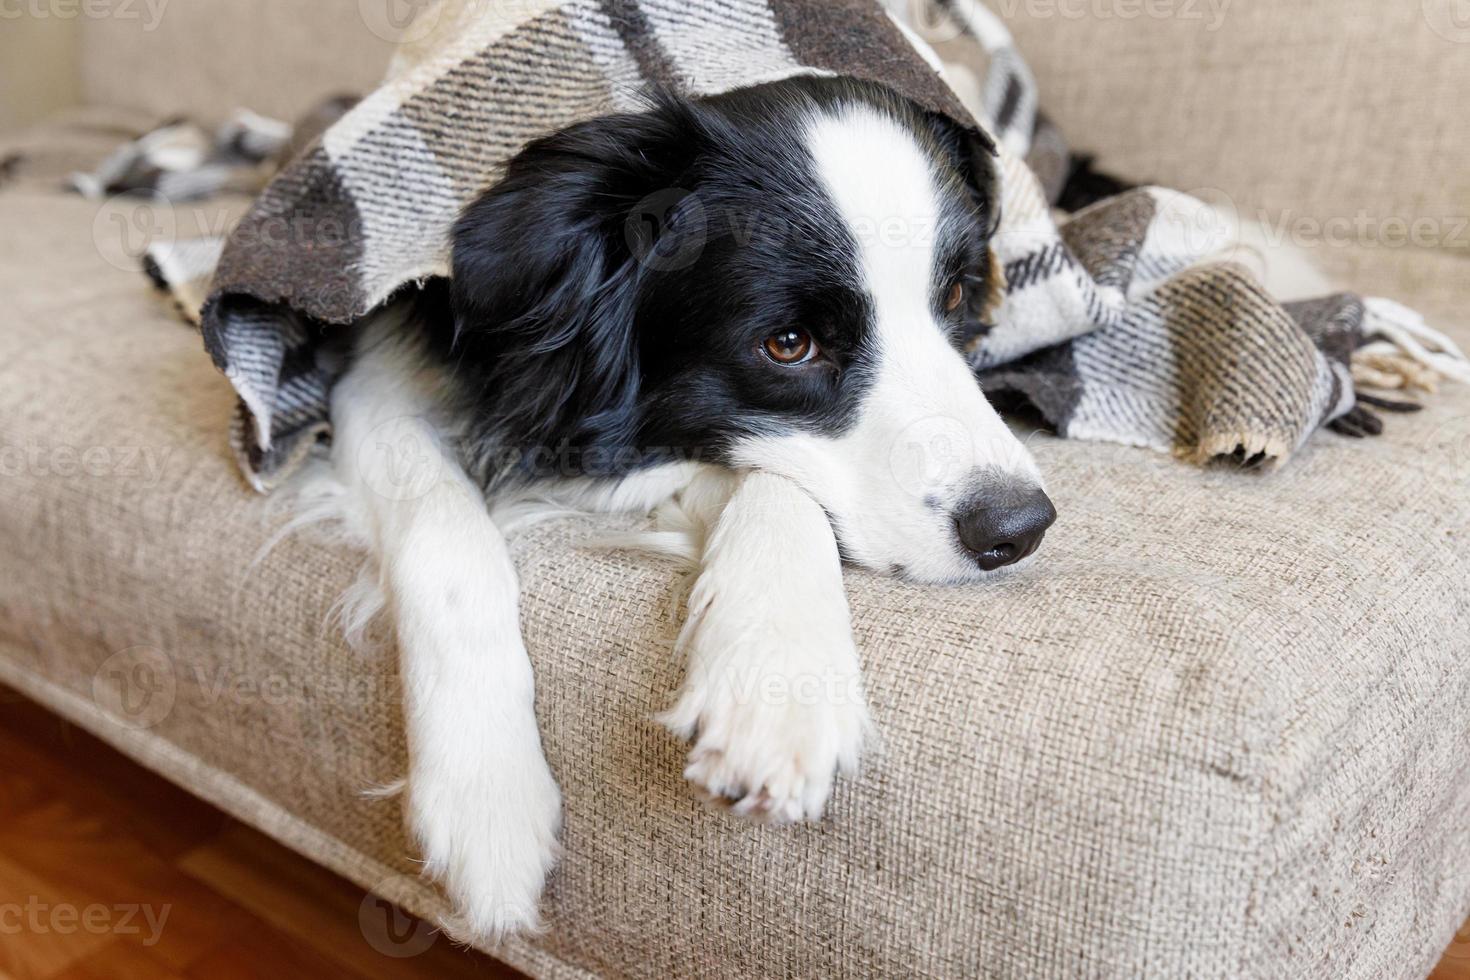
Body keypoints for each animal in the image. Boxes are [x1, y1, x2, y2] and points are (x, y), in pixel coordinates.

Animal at [321, 74, 1058, 934]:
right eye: (788, 344)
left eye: (958, 292)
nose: (1019, 527)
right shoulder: (371, 363)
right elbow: (443, 534)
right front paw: (486, 795)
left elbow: (771, 480)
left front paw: (775, 684)